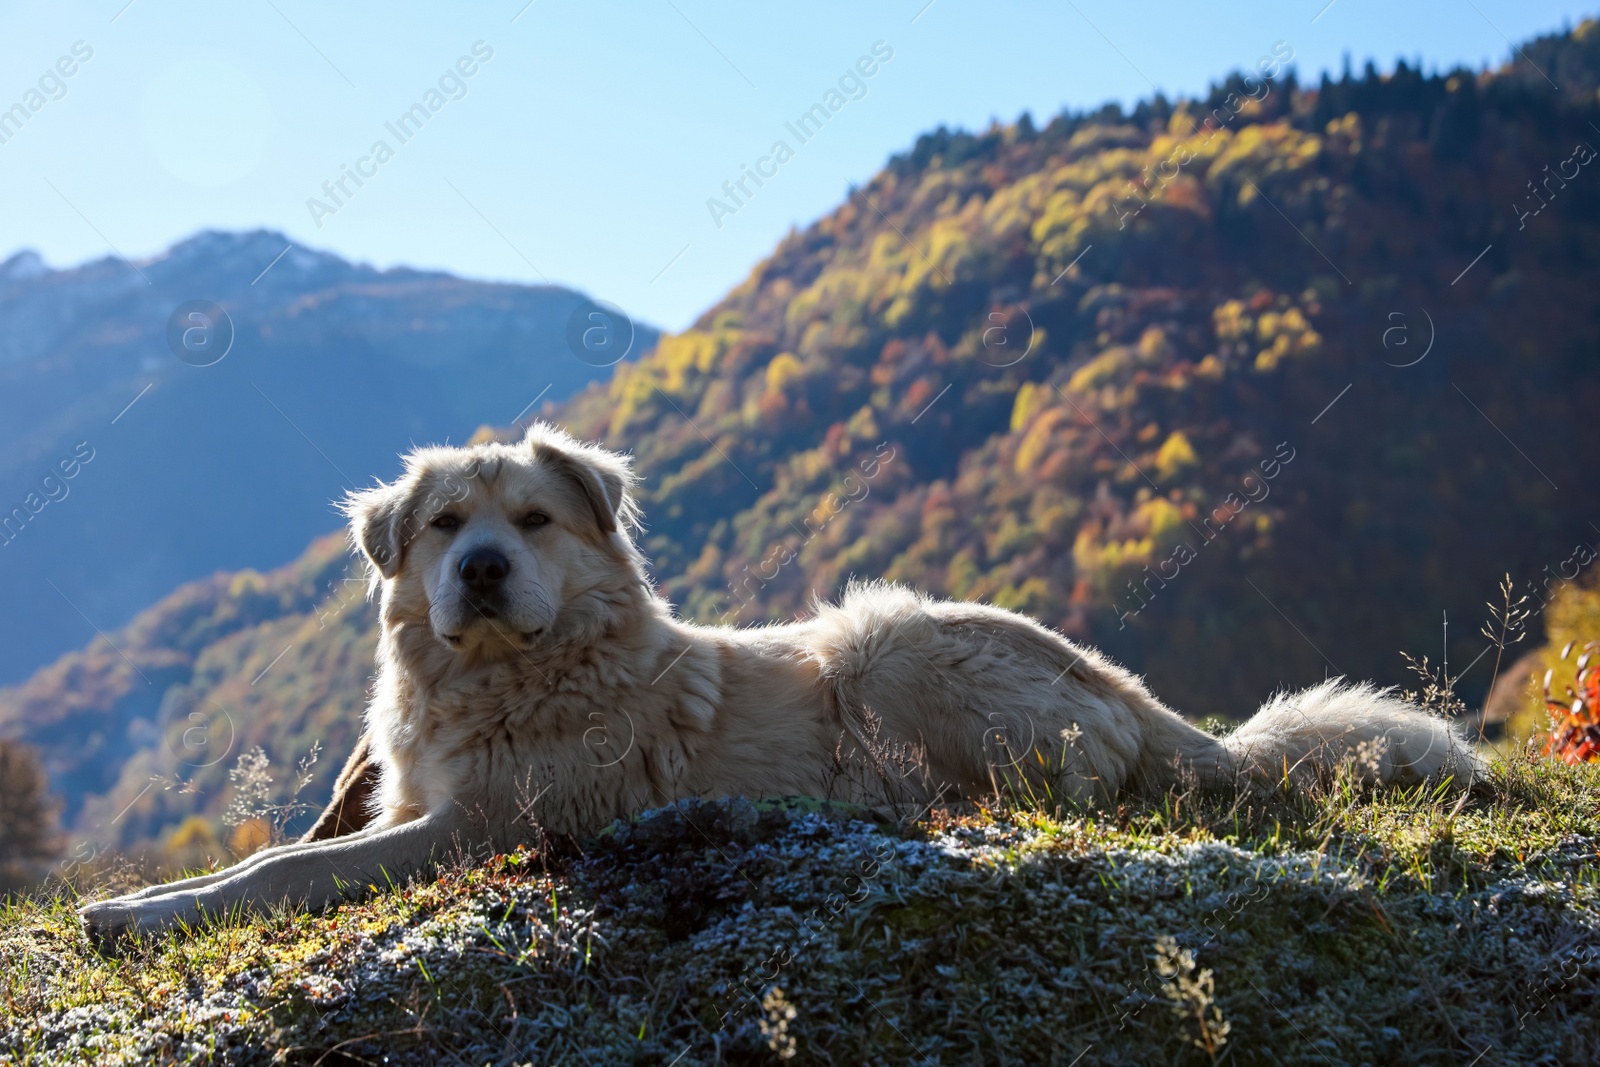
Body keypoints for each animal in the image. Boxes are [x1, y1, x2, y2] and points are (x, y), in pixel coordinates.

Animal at [81, 425, 1478, 940]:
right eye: (439, 527)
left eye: (531, 519)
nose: (477, 568)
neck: (513, 672)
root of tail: (1141, 696)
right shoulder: (420, 797)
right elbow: (276, 851)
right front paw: (145, 899)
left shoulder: (475, 823)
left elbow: (282, 873)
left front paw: (148, 912)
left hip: (883, 639)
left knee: (1062, 787)